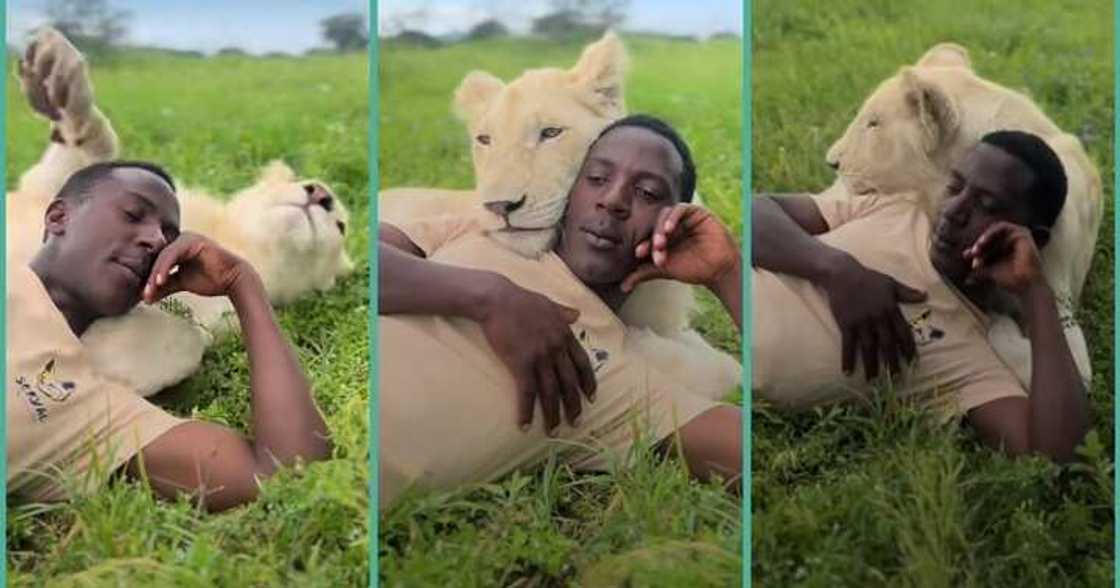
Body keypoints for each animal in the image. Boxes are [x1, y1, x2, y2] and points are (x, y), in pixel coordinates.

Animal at [7, 27, 349, 394]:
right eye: (300, 180)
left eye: (341, 226)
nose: (321, 194)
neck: (236, 238)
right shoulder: (41, 190)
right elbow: (85, 155)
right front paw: (54, 76)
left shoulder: (217, 311)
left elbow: (186, 340)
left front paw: (92, 353)